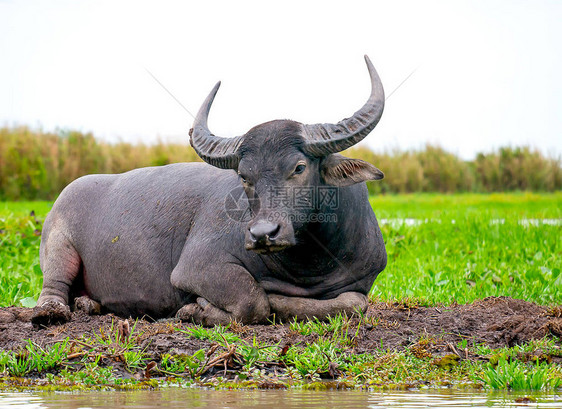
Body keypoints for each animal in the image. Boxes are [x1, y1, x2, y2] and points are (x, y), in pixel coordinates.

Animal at [31, 55, 384, 326]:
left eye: (299, 167)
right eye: (244, 176)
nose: (262, 234)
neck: (309, 265)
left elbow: (353, 303)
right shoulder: (196, 267)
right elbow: (254, 301)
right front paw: (193, 309)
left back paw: (88, 304)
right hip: (58, 246)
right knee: (53, 286)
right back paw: (53, 312)